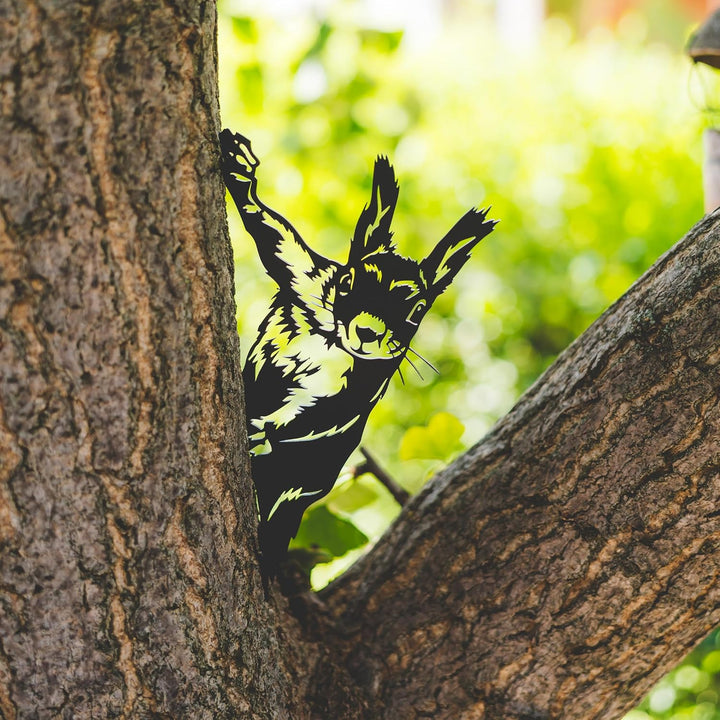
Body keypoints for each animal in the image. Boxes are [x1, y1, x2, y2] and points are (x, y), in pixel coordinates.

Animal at [220, 129, 496, 568]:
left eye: (418, 311)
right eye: (349, 281)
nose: (367, 332)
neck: (333, 344)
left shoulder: (354, 392)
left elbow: (318, 414)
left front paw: (262, 427)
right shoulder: (308, 280)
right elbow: (275, 237)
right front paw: (240, 169)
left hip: (305, 475)